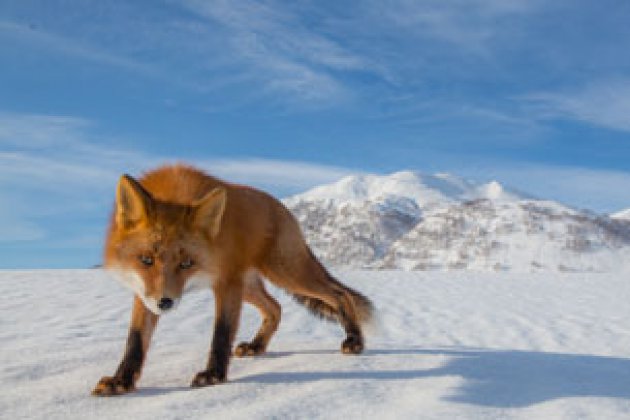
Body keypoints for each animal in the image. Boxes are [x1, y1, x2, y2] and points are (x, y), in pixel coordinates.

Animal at [94, 165, 376, 398]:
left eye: (186, 263)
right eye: (146, 259)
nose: (165, 303)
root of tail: (283, 208)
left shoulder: (226, 281)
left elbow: (221, 333)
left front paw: (213, 376)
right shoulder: (144, 291)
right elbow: (135, 341)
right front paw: (122, 381)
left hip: (285, 273)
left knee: (339, 294)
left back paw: (355, 340)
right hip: (250, 285)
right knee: (275, 308)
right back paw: (256, 345)